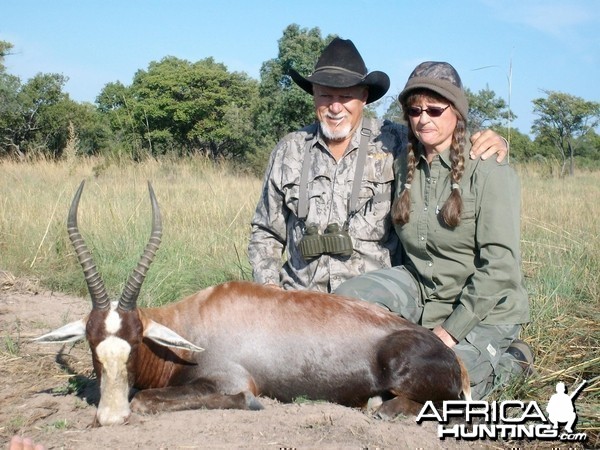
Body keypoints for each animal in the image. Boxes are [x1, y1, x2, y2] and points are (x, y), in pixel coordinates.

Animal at [35, 182, 472, 426]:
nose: (110, 417)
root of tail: (456, 362)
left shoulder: (228, 380)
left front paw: (250, 405)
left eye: (135, 339)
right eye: (92, 343)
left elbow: (145, 399)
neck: (194, 322)